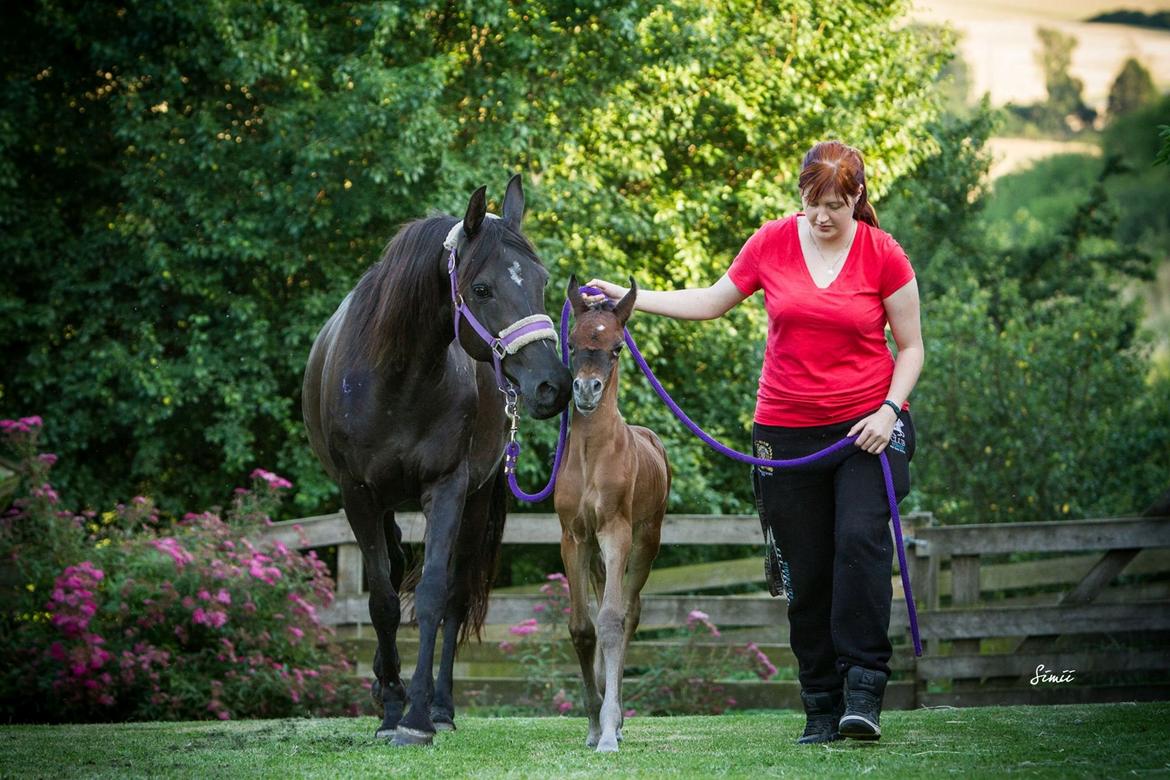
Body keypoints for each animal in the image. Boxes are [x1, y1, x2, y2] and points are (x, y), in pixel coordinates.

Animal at [301, 175, 570, 743]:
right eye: (482, 288)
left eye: (541, 281)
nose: (551, 386)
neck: (398, 378)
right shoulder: (358, 495)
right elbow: (382, 600)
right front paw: (390, 707)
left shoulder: (447, 488)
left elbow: (431, 597)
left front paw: (418, 716)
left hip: (473, 502)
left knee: (455, 598)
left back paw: (442, 707)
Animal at [552, 275, 673, 748]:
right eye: (571, 342)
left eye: (618, 346)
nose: (586, 391)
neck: (591, 456)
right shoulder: (575, 537)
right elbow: (583, 628)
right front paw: (592, 723)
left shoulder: (615, 532)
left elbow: (610, 622)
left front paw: (608, 728)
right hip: (600, 557)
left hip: (644, 543)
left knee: (630, 614)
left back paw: (617, 719)